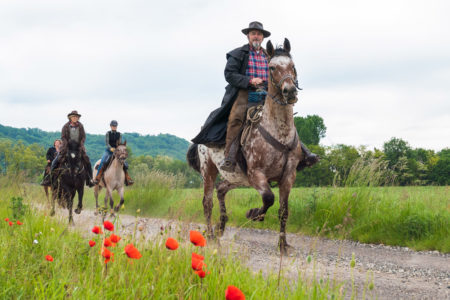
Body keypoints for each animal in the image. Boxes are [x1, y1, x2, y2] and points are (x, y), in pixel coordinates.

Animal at [188, 37, 304, 253]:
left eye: (292, 66)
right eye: (272, 67)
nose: (290, 91)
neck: (280, 132)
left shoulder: (288, 177)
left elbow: (283, 211)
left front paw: (283, 245)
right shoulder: (256, 174)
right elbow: (268, 198)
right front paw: (254, 214)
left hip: (237, 178)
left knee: (221, 189)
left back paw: (221, 227)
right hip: (209, 171)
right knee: (207, 202)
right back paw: (211, 235)